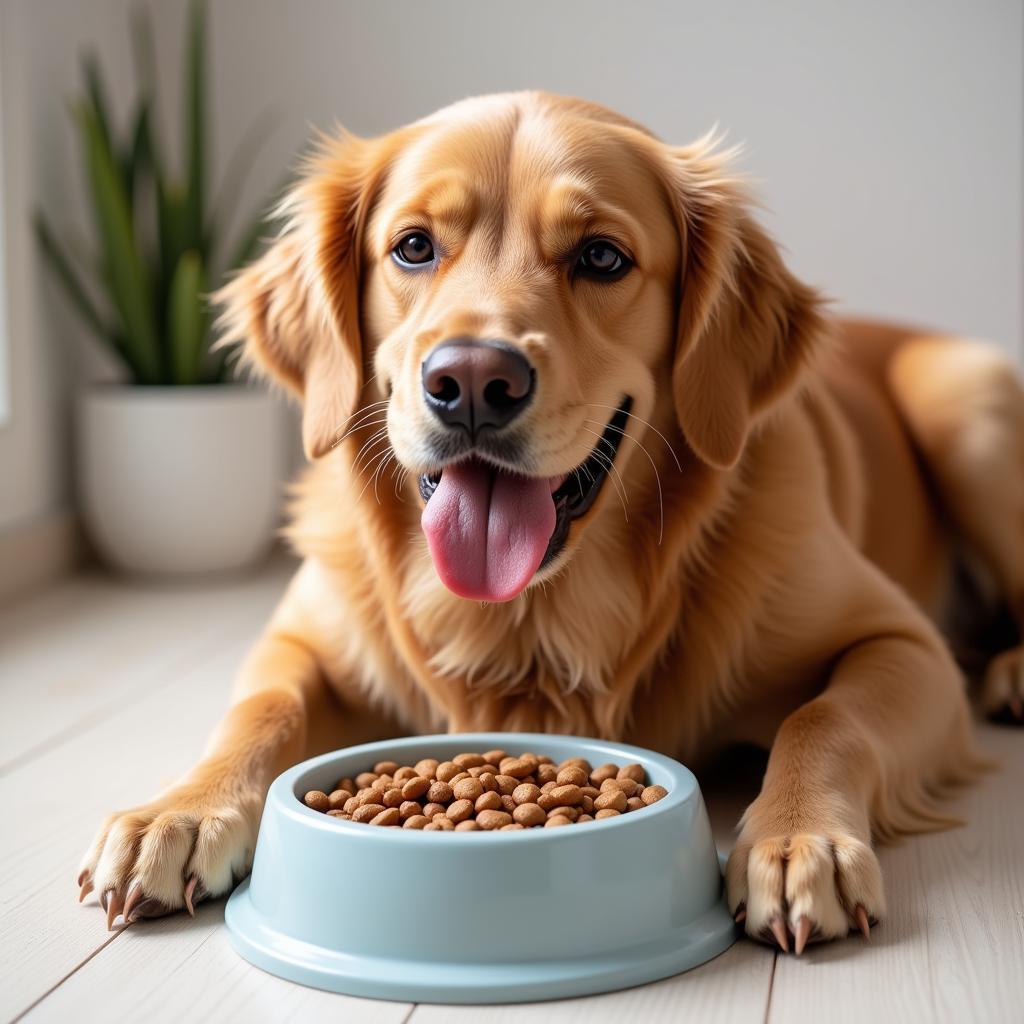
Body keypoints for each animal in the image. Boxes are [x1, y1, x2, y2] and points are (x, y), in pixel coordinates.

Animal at [75, 92, 1019, 946]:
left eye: (601, 256)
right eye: (413, 247)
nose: (470, 381)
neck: (535, 620)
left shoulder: (902, 643)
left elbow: (823, 720)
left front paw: (798, 839)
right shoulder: (304, 639)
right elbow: (259, 710)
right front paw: (180, 812)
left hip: (967, 406)